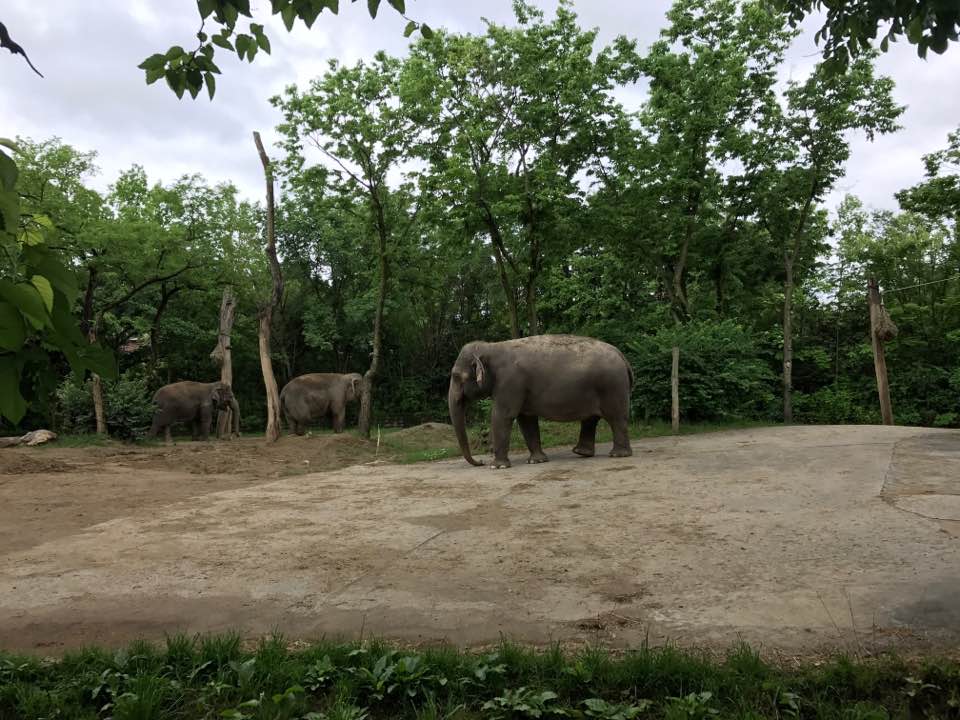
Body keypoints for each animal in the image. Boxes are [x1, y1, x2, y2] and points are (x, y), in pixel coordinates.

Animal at [448, 335, 633, 469]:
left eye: (456, 376)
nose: (481, 462)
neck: (492, 347)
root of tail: (622, 355)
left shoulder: (510, 382)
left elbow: (503, 416)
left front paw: (497, 467)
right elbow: (526, 420)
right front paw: (537, 461)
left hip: (612, 387)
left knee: (616, 418)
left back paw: (618, 455)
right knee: (591, 419)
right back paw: (582, 452)